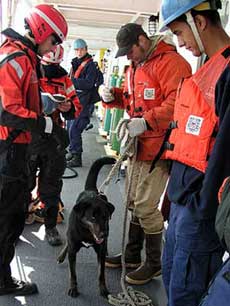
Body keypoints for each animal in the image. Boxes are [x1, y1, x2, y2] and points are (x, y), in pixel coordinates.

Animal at [57, 157, 115, 298]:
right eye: (93, 217)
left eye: (105, 217)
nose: (103, 234)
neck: (87, 232)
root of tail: (92, 190)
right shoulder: (73, 251)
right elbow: (73, 273)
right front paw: (73, 288)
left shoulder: (100, 252)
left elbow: (101, 273)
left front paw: (103, 289)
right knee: (68, 242)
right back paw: (61, 256)